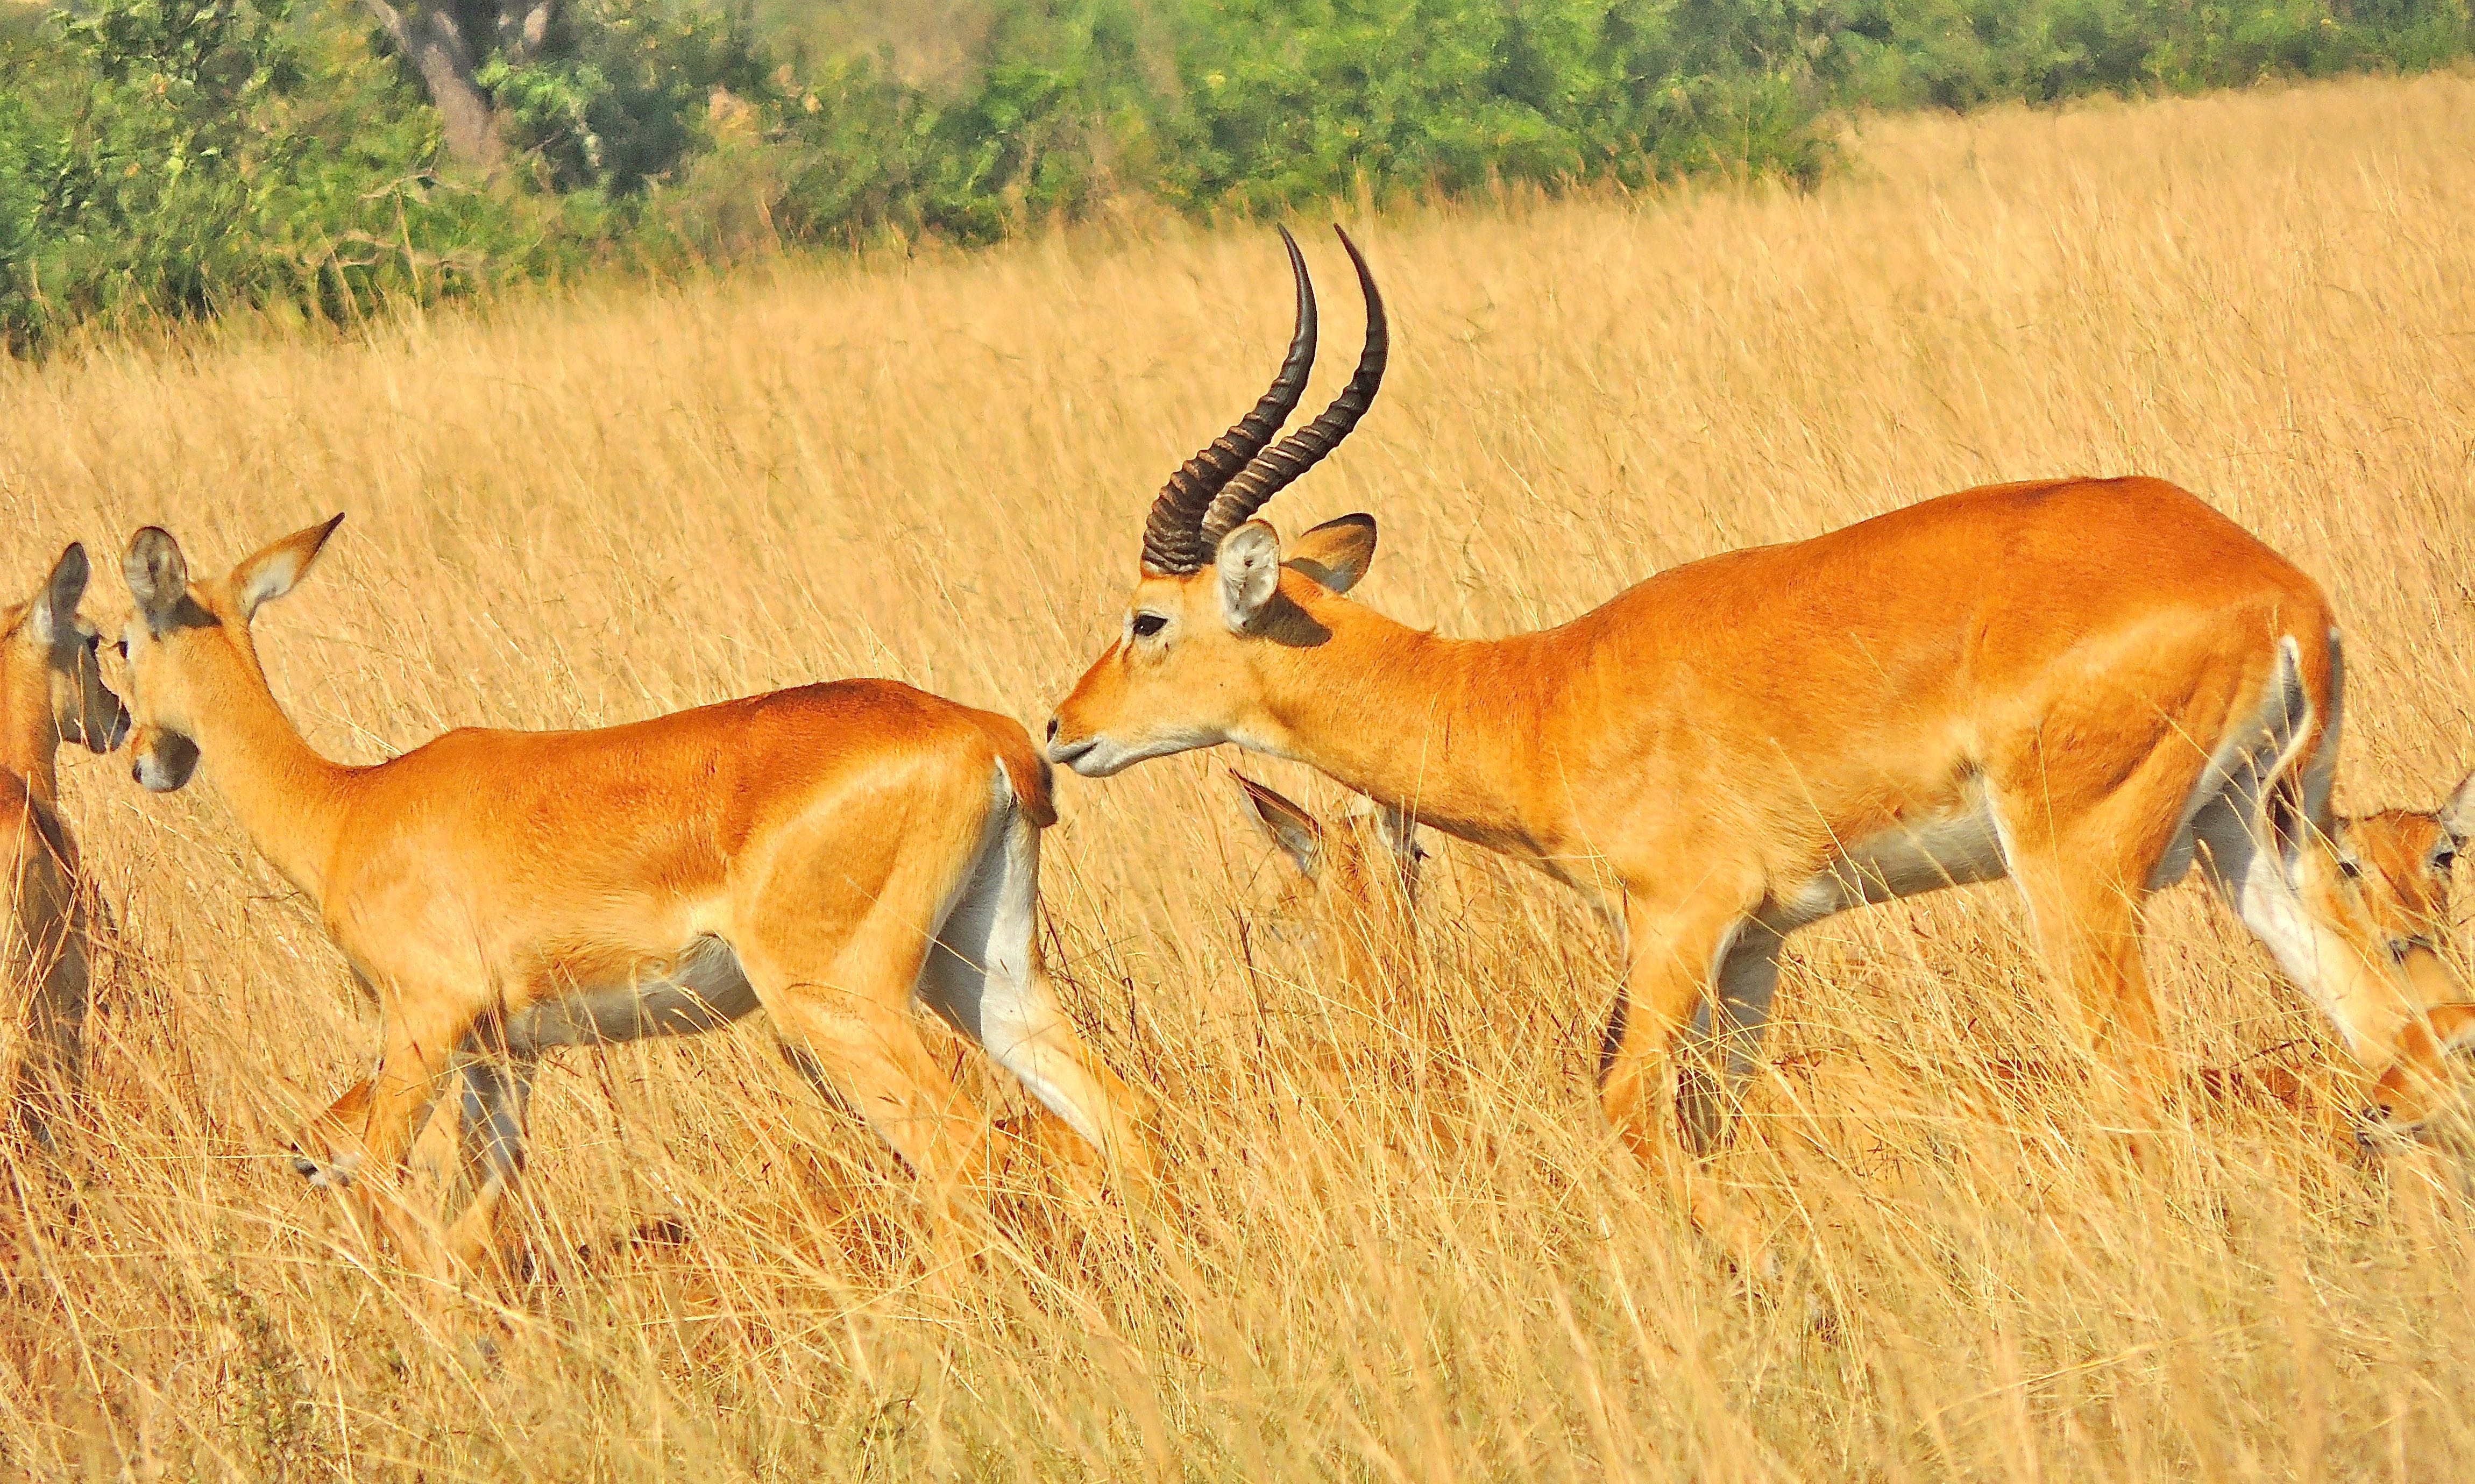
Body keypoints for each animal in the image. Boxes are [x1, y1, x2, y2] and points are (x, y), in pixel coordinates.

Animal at [114, 517, 1148, 1266]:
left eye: (119, 638)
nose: (142, 758)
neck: (350, 806)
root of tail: (983, 733)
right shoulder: (503, 1057)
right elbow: (472, 1231)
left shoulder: (420, 1029)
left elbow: (392, 1196)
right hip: (980, 974)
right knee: (1112, 1111)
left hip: (837, 1005)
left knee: (966, 1153)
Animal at [1034, 222, 2465, 1192]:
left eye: (1147, 617)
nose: (1059, 730)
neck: (1540, 690)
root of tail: (2273, 587)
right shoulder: (1758, 944)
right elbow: (1709, 1117)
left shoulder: (1679, 920)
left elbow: (1624, 1106)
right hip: (2254, 841)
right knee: (2390, 1030)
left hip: (2079, 868)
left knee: (2141, 1076)